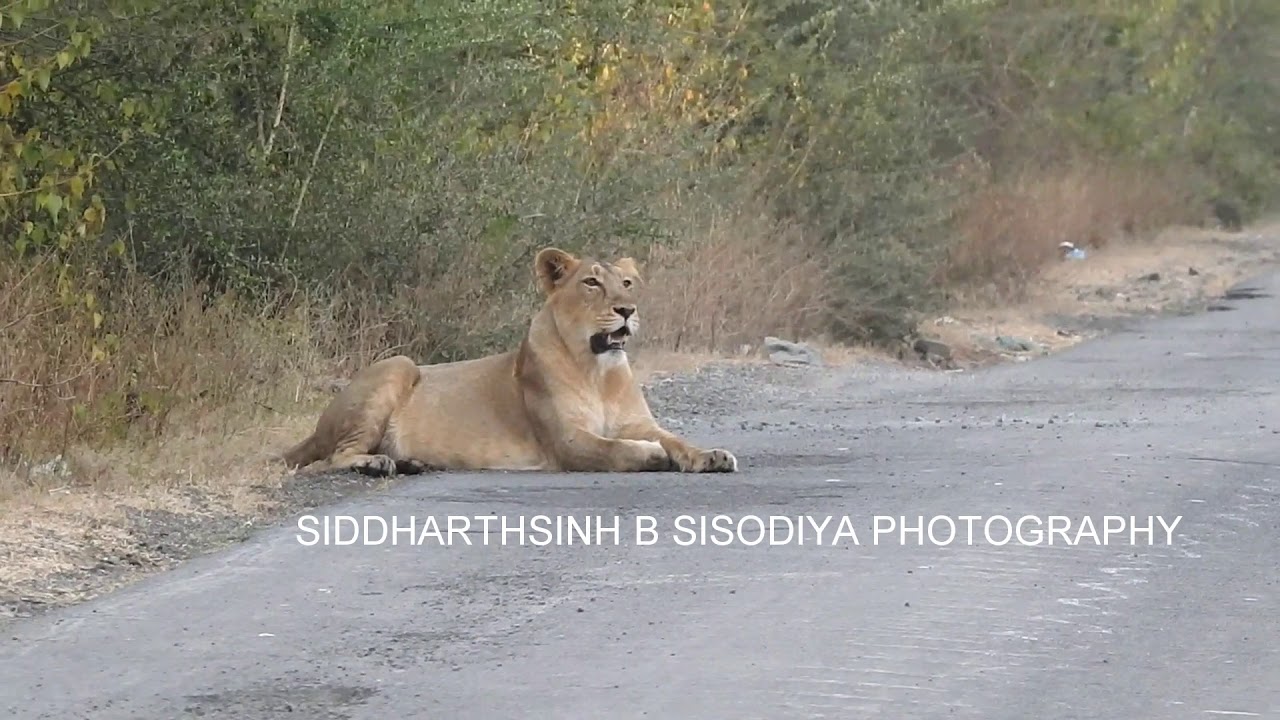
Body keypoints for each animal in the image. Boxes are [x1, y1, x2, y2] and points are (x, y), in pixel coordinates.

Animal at [280, 247, 738, 476]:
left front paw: (711, 456)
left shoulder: (638, 423)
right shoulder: (567, 441)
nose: (627, 309)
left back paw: (409, 461)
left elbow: (675, 439)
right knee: (332, 458)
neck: (598, 370)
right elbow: (616, 450)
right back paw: (377, 463)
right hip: (399, 364)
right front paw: (652, 456)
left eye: (626, 282)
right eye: (591, 282)